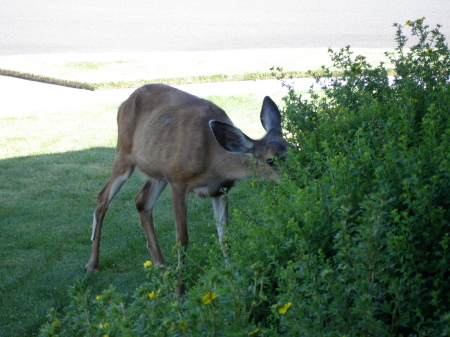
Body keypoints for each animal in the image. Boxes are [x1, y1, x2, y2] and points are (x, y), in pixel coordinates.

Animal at [85, 82, 290, 292]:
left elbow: (224, 236)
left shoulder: (221, 190)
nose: (296, 177)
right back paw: (92, 264)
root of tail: (123, 104)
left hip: (158, 170)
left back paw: (161, 268)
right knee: (103, 197)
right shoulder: (178, 181)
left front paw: (233, 280)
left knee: (141, 201)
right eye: (271, 160)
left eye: (294, 147)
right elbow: (182, 240)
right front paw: (180, 292)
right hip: (124, 154)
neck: (213, 160)